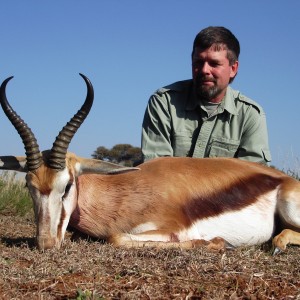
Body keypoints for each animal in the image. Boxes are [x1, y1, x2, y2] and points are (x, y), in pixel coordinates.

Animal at [0, 74, 300, 253]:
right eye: (29, 186)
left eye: (66, 186)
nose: (46, 243)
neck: (126, 189)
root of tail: (284, 180)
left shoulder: (171, 228)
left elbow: (116, 237)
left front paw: (219, 243)